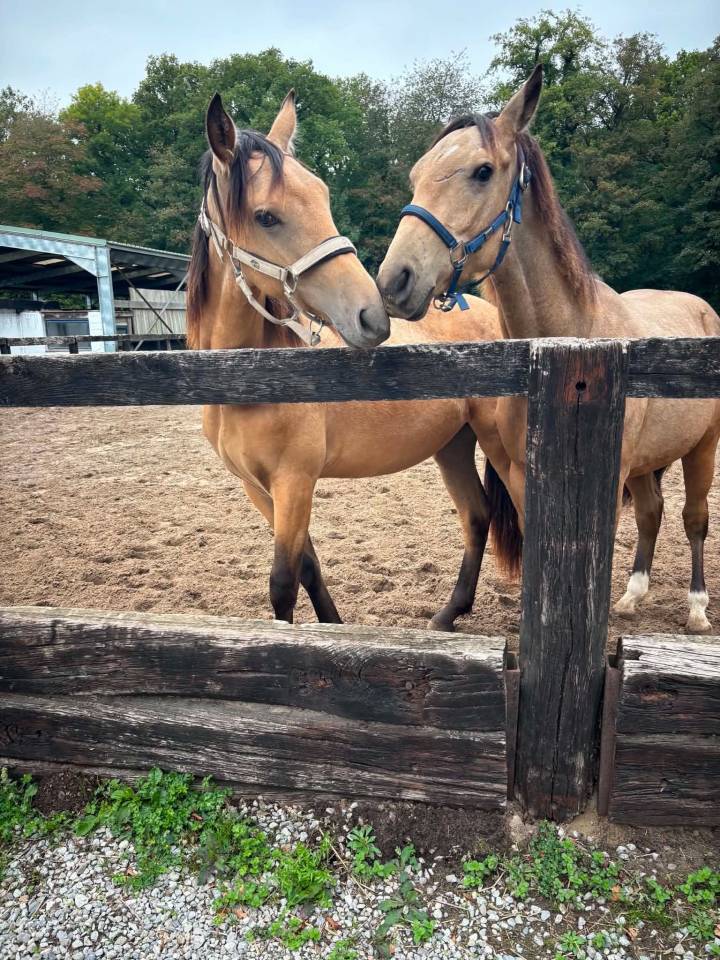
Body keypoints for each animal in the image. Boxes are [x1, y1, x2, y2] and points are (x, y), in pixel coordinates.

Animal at [187, 90, 520, 629]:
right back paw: (448, 616)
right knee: (477, 515)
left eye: (323, 197)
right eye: (265, 216)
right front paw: (334, 628)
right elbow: (307, 566)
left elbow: (283, 584)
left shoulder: (294, 482)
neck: (248, 379)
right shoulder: (259, 488)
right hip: (452, 444)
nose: (371, 314)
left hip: (499, 445)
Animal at [377, 64, 720, 634]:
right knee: (652, 513)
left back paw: (696, 608)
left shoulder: (607, 480)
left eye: (483, 171)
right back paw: (633, 597)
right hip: (649, 464)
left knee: (694, 520)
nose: (394, 280)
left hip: (702, 448)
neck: (568, 346)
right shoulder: (521, 475)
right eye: (417, 174)